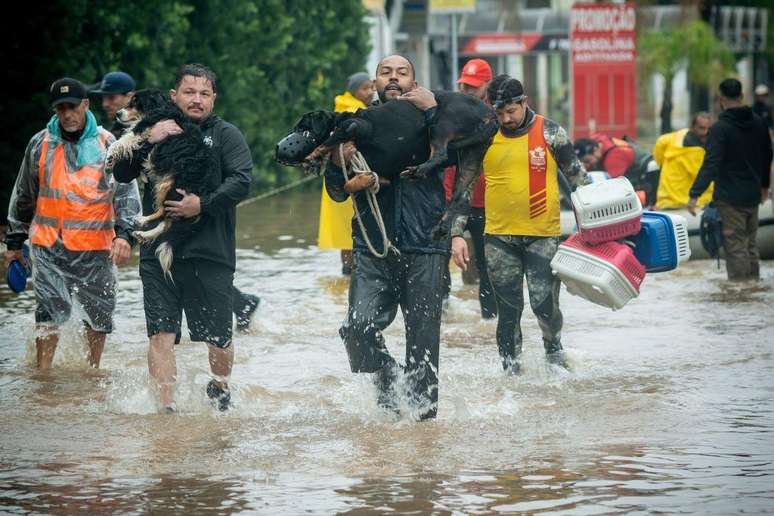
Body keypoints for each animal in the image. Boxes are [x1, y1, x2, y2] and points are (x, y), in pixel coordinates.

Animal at [106, 87, 215, 274]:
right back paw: (143, 232)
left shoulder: (145, 128)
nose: (118, 114)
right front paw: (141, 172)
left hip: (169, 187)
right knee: (166, 221)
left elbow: (123, 140)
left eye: (135, 102)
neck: (159, 106)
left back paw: (142, 221)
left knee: (165, 215)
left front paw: (109, 155)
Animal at [276, 91, 500, 239]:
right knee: (458, 196)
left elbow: (327, 143)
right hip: (471, 158)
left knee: (440, 154)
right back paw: (442, 226)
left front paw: (313, 156)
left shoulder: (353, 126)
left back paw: (419, 170)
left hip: (442, 123)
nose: (278, 147)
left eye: (301, 128)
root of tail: (491, 114)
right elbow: (351, 183)